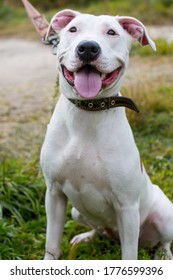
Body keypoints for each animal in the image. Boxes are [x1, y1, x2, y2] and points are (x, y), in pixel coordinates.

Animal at [39, 9, 173, 260]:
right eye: (73, 29)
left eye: (112, 32)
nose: (88, 48)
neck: (88, 112)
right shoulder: (54, 194)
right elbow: (51, 244)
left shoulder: (127, 206)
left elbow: (129, 255)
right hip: (77, 212)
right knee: (98, 227)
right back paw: (85, 237)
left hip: (164, 216)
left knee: (164, 241)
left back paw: (163, 255)